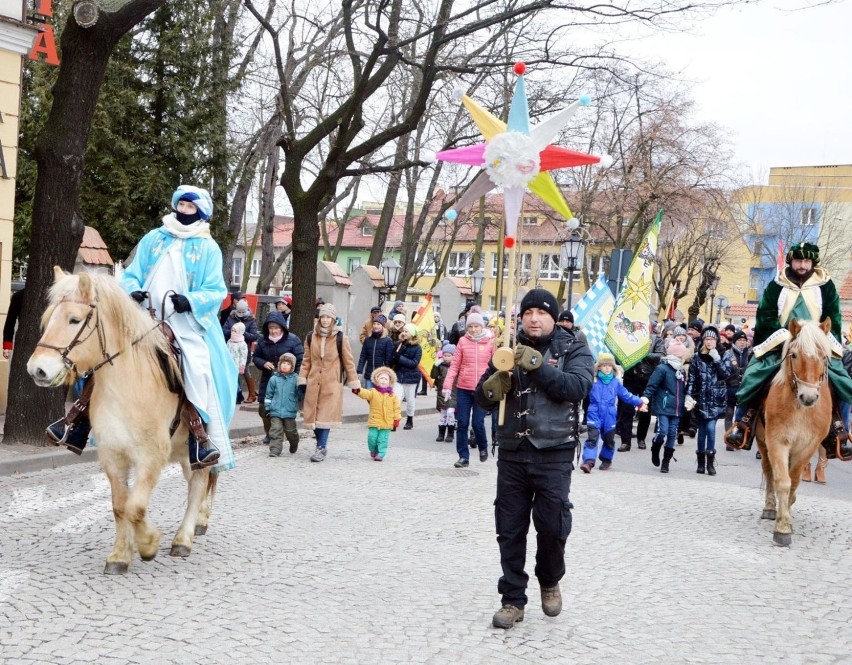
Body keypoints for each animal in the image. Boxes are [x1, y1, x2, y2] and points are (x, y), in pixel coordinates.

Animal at [27, 268, 220, 572]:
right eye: (48, 319)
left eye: (74, 319)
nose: (38, 369)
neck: (128, 387)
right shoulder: (112, 454)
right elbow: (120, 506)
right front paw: (120, 555)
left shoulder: (150, 456)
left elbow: (135, 507)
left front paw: (149, 544)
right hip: (184, 451)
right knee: (194, 484)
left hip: (198, 449)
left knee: (199, 483)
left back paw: (183, 539)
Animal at [756, 316, 828, 544]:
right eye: (794, 355)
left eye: (824, 356)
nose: (809, 397)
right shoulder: (777, 441)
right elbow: (782, 481)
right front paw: (782, 528)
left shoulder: (808, 446)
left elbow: (794, 481)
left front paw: (787, 513)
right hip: (762, 441)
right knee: (769, 470)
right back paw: (771, 507)